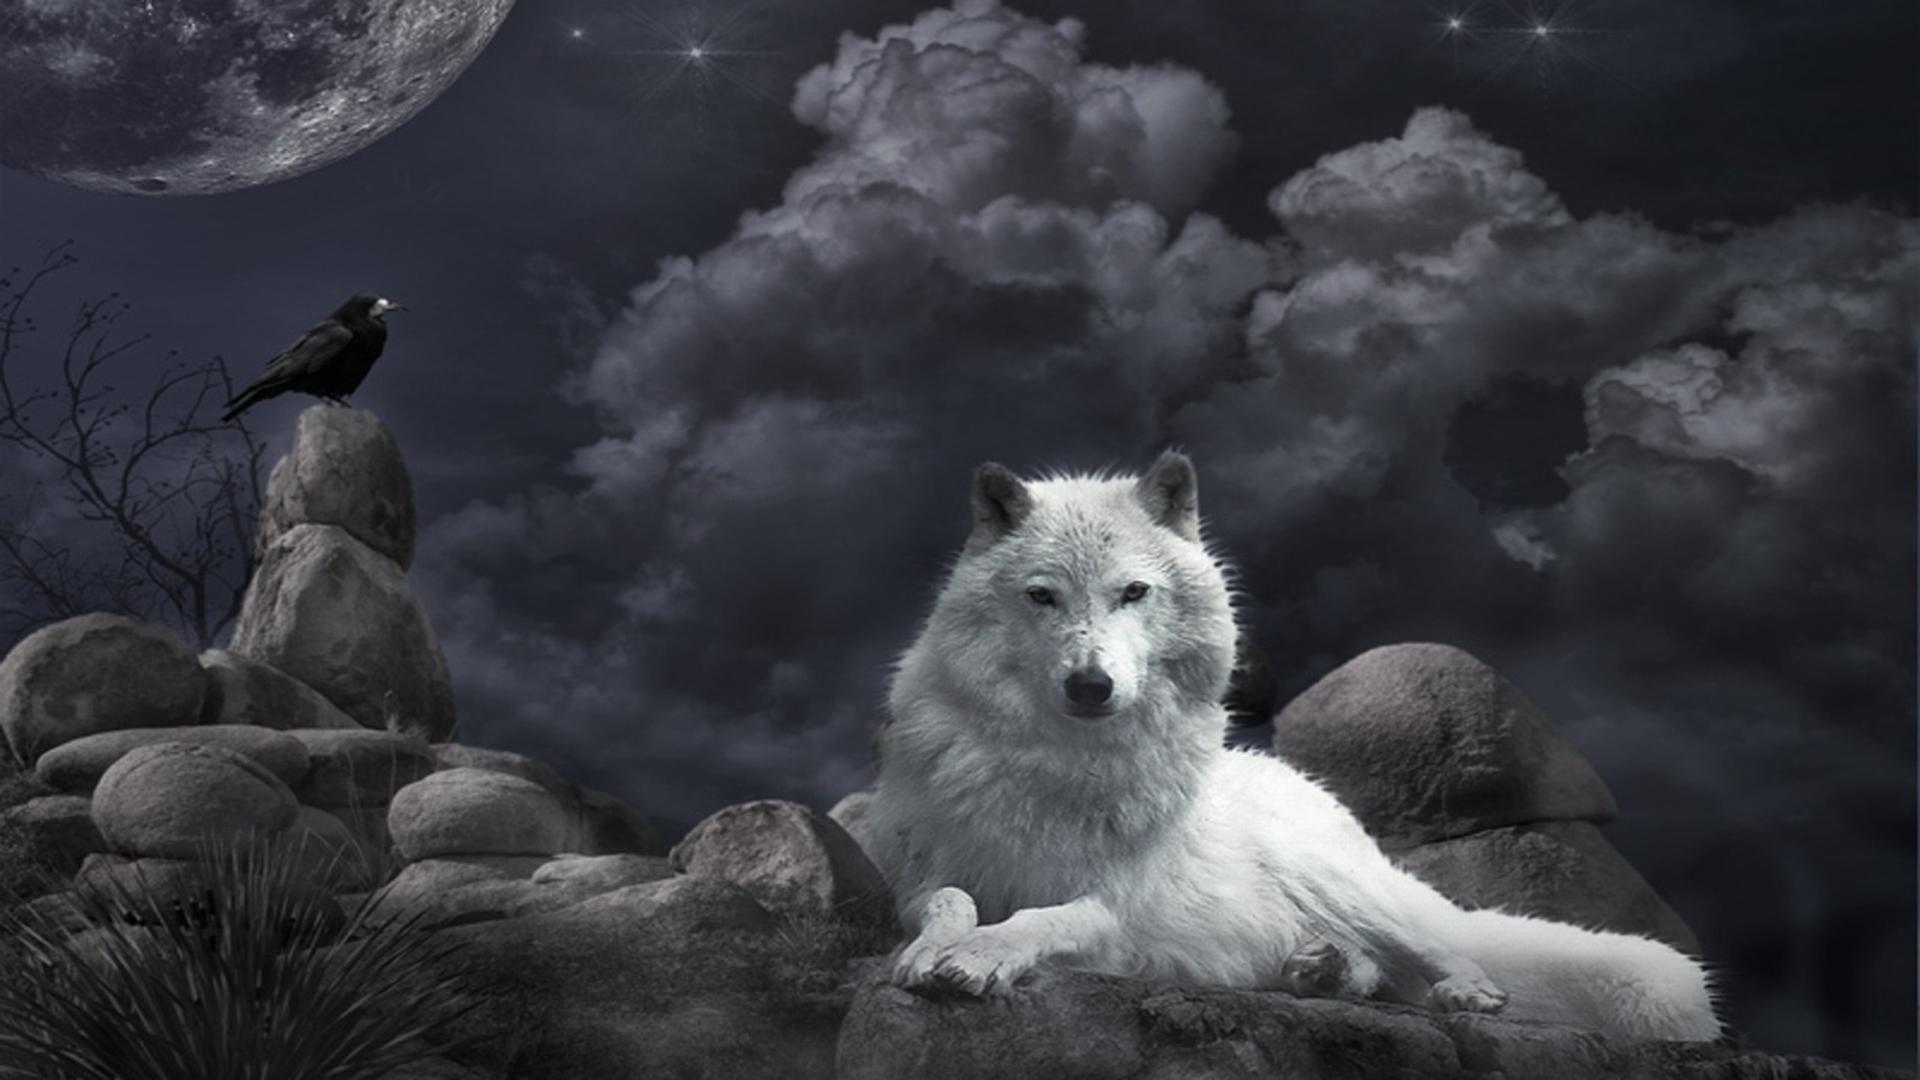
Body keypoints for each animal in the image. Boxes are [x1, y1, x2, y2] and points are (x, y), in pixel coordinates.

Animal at [865, 451, 1719, 1041]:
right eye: (1042, 596)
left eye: (1133, 592)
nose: (1090, 686)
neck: (1059, 765)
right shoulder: (923, 873)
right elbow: (948, 902)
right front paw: (930, 952)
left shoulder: (1120, 909)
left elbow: (1045, 919)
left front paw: (980, 957)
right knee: (1378, 972)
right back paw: (1320, 969)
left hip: (1340, 879)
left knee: (1435, 950)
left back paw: (1460, 990)